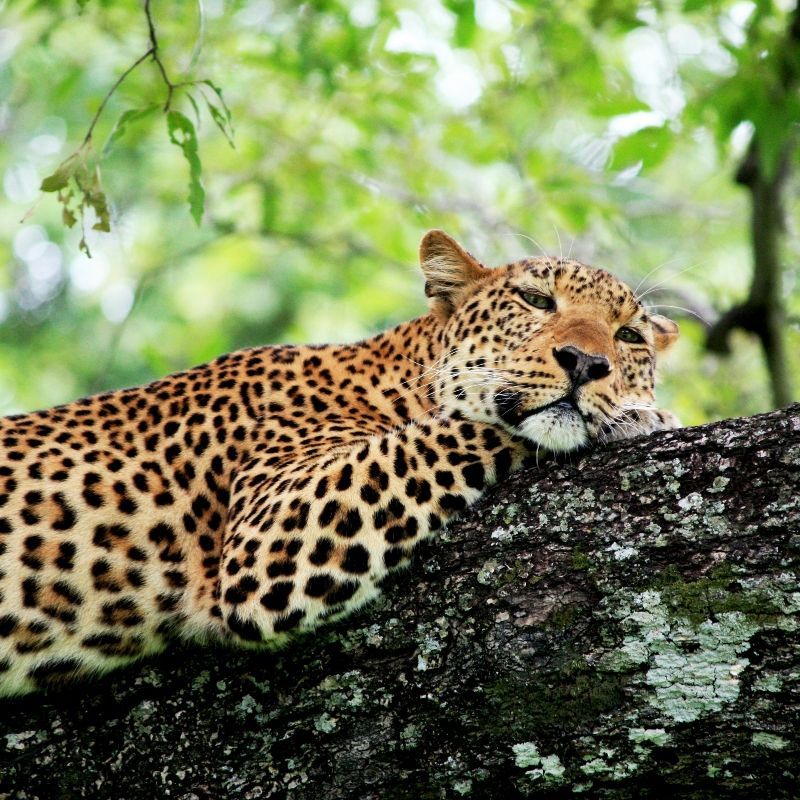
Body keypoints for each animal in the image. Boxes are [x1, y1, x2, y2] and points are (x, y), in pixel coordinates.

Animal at [0, 229, 680, 697]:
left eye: (629, 337)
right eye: (536, 300)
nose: (586, 363)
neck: (392, 378)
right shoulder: (271, 533)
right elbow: (460, 429)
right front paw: (644, 417)